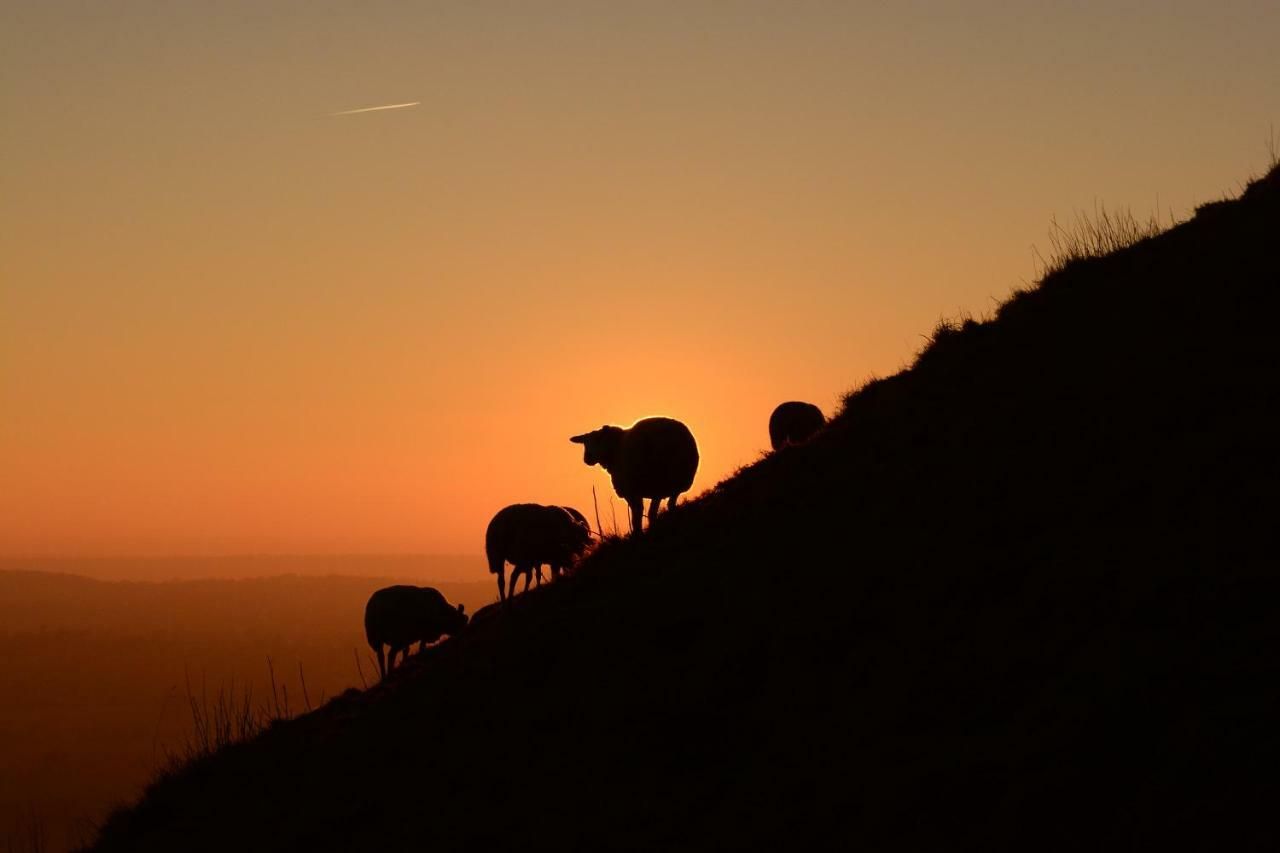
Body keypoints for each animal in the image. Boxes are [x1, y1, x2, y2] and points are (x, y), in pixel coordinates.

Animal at [568, 412, 696, 532]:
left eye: (599, 439)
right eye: (584, 443)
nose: (587, 458)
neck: (615, 447)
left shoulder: (629, 489)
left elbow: (636, 514)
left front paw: (637, 532)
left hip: (654, 479)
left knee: (650, 511)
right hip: (674, 480)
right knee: (668, 505)